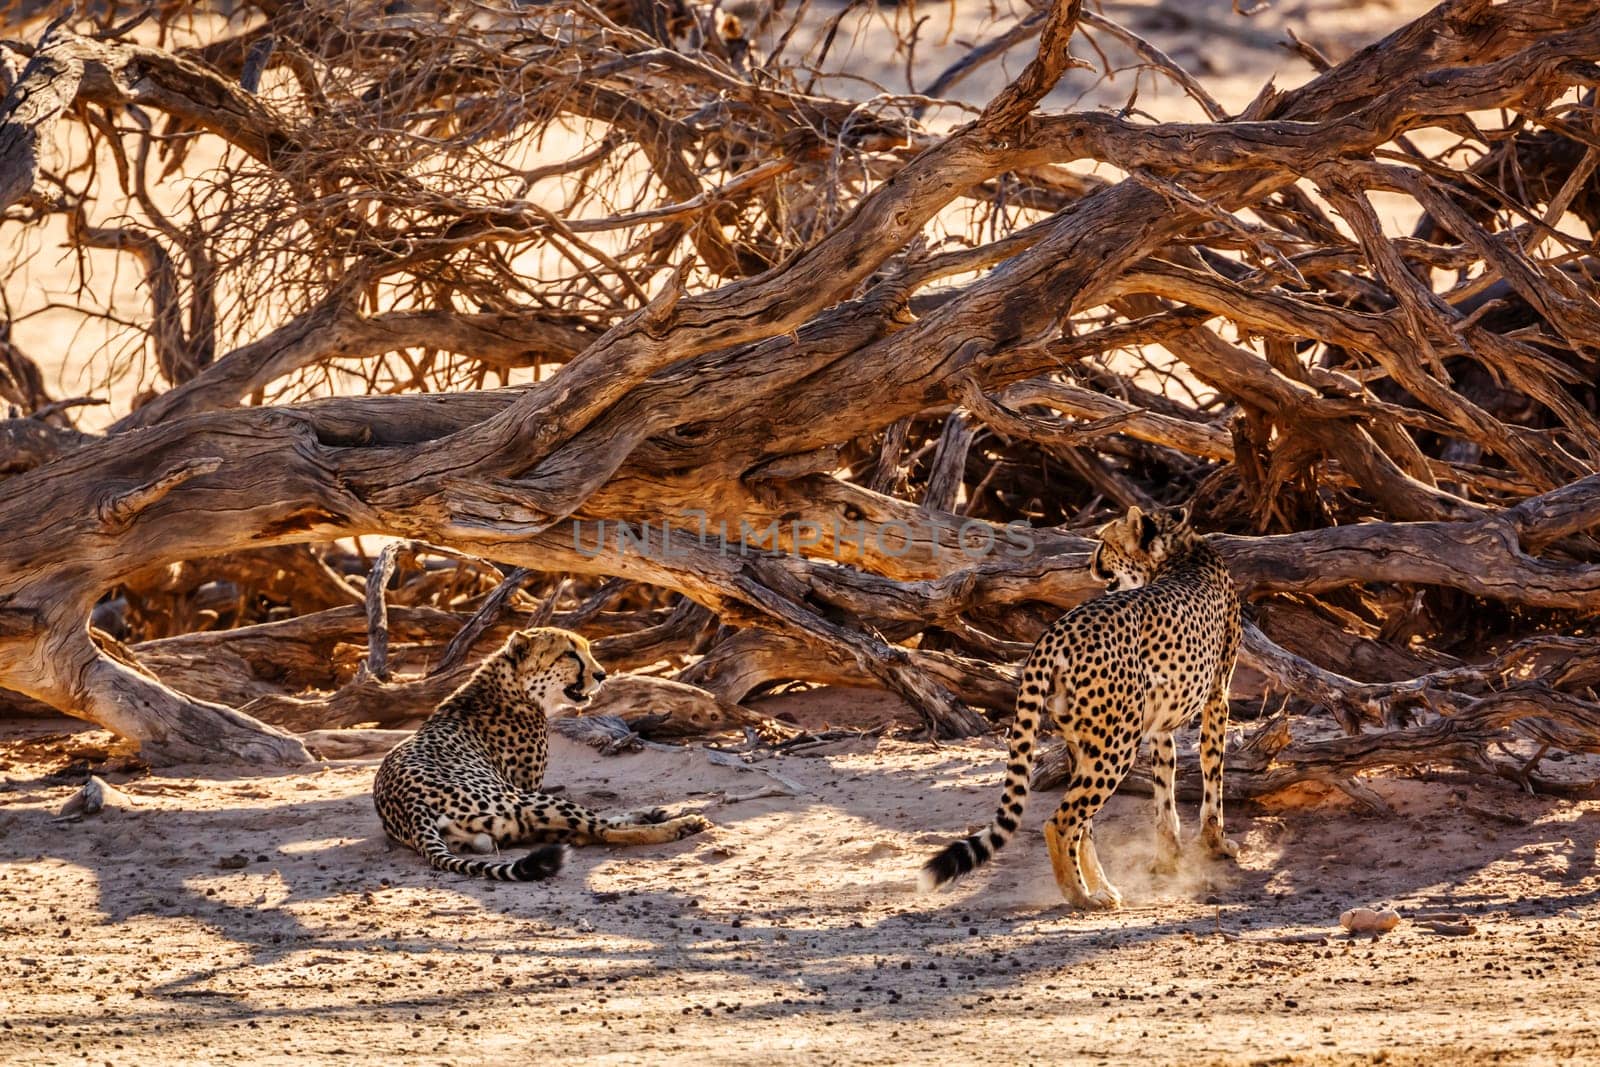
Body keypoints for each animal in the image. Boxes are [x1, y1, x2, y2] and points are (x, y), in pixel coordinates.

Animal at [376, 627, 713, 883]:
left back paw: (653, 814)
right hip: (522, 799)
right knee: (598, 830)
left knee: (585, 829)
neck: (513, 686)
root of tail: (411, 808)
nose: (602, 675)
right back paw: (681, 824)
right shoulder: (527, 785)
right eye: (569, 654)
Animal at [921, 505, 1241, 908]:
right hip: (1115, 745)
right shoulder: (1218, 698)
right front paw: (1216, 844)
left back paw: (1102, 889)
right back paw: (1079, 896)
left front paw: (1170, 857)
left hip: (1085, 741)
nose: (1090, 564)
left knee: (1082, 825)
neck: (1178, 554)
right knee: (1061, 822)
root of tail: (1058, 630)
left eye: (1105, 542)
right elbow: (1212, 775)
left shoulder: (1160, 723)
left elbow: (1164, 793)